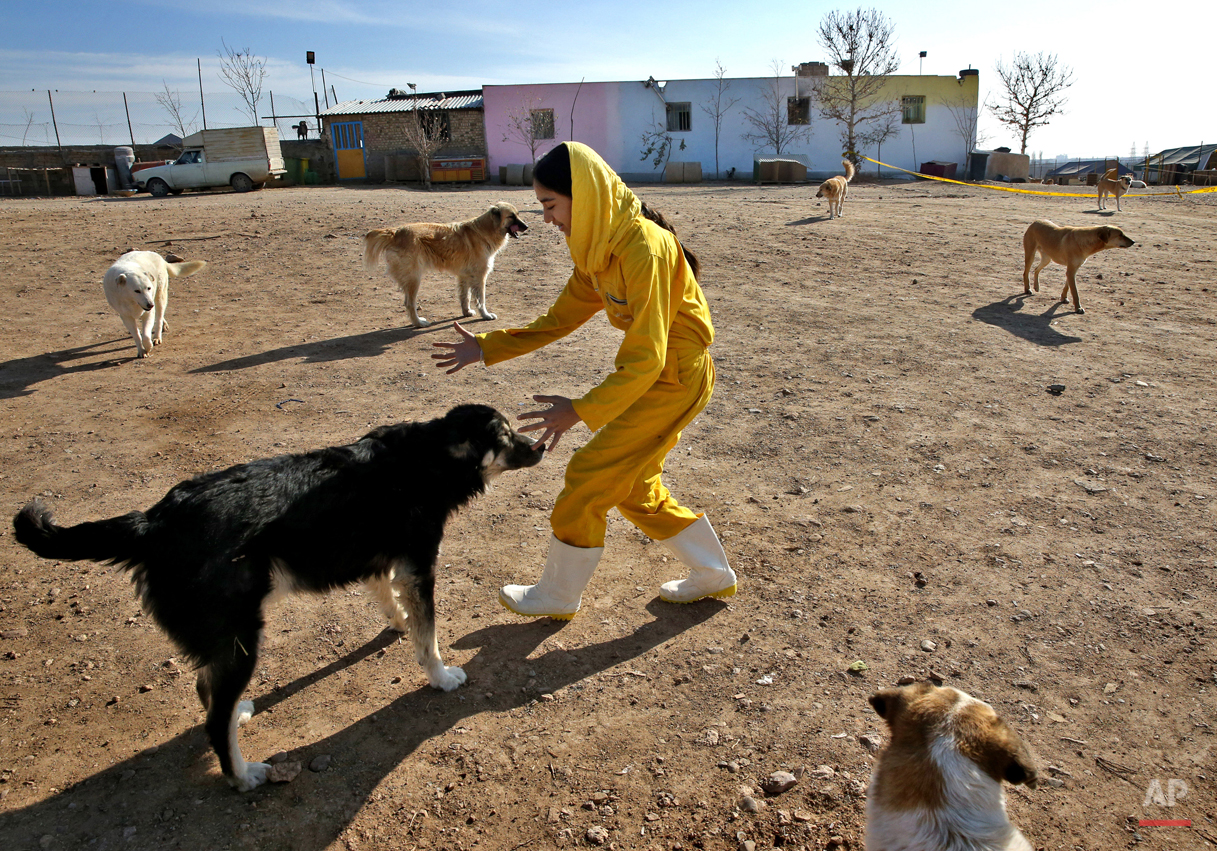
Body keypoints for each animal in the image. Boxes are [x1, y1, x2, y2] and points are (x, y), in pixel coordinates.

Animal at [13, 406, 542, 793]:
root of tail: (153, 520)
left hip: (228, 642)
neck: (427, 458)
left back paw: (241, 715)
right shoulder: (420, 565)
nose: (540, 446)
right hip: (243, 638)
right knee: (213, 720)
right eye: (507, 434)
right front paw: (440, 676)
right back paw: (243, 776)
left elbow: (392, 602)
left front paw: (398, 624)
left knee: (209, 694)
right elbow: (429, 636)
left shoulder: (378, 560)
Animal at [365, 203, 528, 328]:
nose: (526, 227)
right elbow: (481, 299)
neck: (487, 229)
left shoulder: (464, 275)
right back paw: (419, 323)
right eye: (511, 216)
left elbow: (465, 296)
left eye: (518, 214)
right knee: (409, 304)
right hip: (414, 279)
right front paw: (486, 315)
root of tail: (395, 232)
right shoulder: (479, 276)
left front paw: (466, 312)